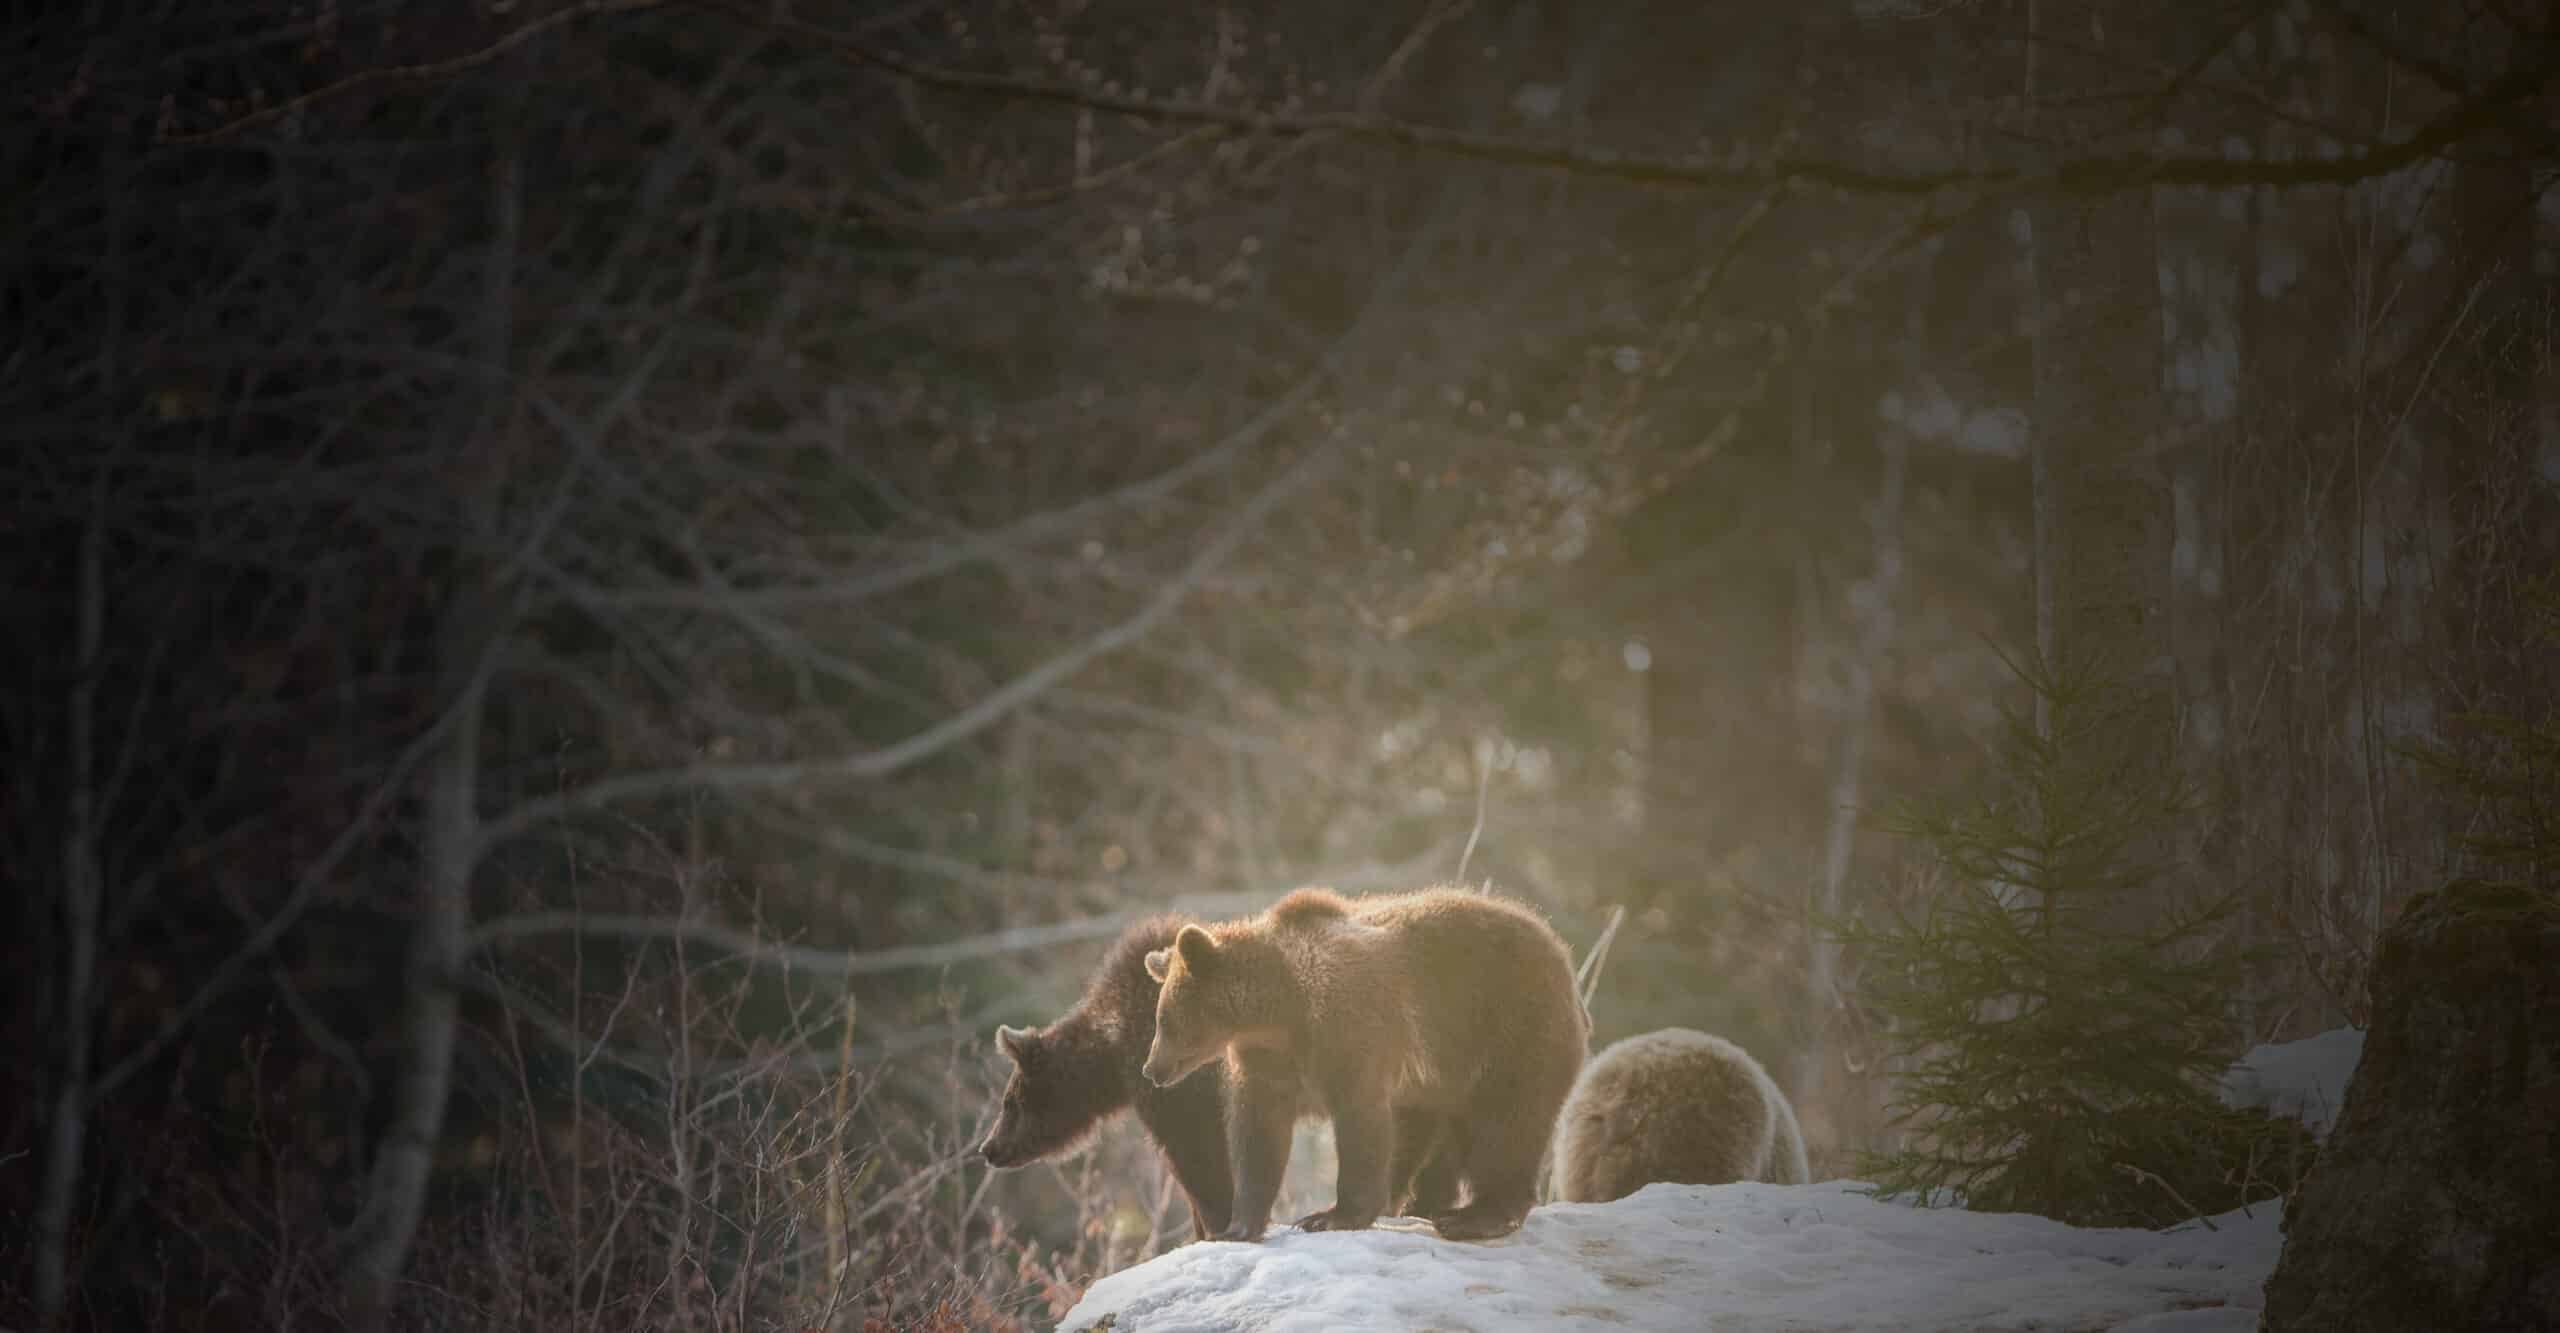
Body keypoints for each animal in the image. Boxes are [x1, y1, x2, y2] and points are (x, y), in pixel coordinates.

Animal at [976, 915, 1466, 1240]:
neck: (1116, 1053)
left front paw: (1217, 1223)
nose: (988, 1148)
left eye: (1009, 1102)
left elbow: (1198, 1157)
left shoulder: (1181, 1087)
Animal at [1140, 885, 1587, 1243]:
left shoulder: (1349, 1033)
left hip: (1510, 1027)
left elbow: (1361, 1121)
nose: (1151, 1069)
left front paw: (1330, 1216)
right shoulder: (1267, 1062)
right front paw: (1237, 1227)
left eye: (1164, 1020)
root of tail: (1560, 952)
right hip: (1449, 1072)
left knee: (1509, 1122)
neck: (1281, 1012)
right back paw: (1422, 1204)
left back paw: (1474, 1217)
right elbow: (1258, 1135)